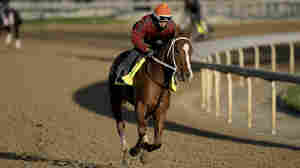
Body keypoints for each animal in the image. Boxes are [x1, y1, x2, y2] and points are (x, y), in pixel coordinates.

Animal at [109, 27, 193, 165]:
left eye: (191, 50)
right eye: (176, 50)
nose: (187, 75)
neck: (157, 78)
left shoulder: (161, 109)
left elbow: (157, 141)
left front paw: (144, 151)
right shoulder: (141, 105)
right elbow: (142, 130)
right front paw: (135, 150)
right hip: (115, 100)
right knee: (121, 126)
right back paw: (125, 155)